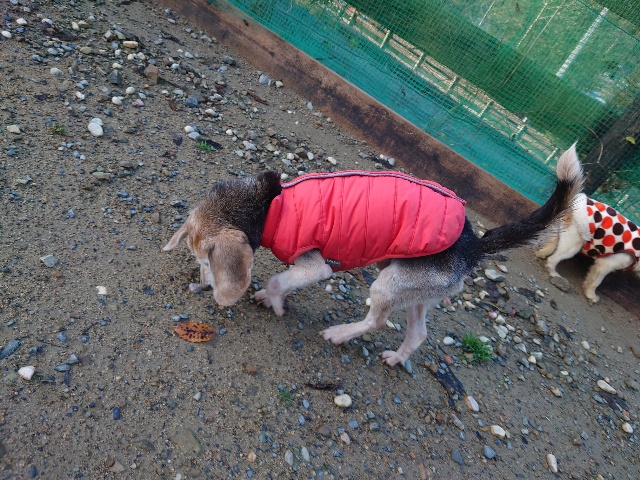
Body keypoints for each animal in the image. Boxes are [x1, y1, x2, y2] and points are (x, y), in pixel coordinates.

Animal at [163, 147, 581, 366]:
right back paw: (397, 358)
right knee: (418, 332)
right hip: (411, 285)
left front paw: (276, 301)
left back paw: (339, 334)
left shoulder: (315, 265)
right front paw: (269, 297)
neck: (268, 206)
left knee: (377, 321)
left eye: (205, 262)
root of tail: (472, 244)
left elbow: (280, 278)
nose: (200, 287)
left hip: (387, 283)